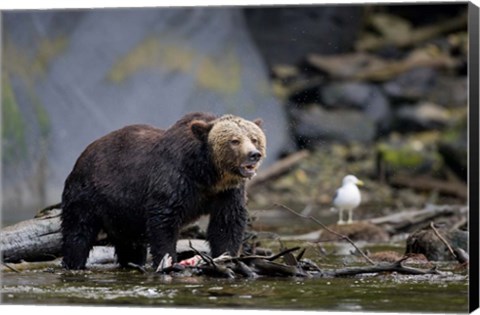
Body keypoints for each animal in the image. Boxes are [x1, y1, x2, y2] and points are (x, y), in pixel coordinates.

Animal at [61, 112, 266, 270]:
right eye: (234, 140)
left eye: (254, 138)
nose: (253, 154)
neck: (206, 174)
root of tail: (82, 155)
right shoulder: (174, 179)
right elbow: (164, 221)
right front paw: (168, 261)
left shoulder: (227, 192)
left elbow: (227, 223)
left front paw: (227, 257)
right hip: (89, 194)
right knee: (78, 232)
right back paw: (73, 263)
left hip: (122, 212)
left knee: (130, 243)